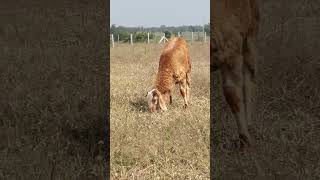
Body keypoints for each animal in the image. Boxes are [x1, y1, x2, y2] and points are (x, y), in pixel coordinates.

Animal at [210, 0, 260, 148]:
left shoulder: (232, 52)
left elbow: (232, 93)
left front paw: (245, 139)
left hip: (251, 34)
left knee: (250, 77)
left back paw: (249, 125)